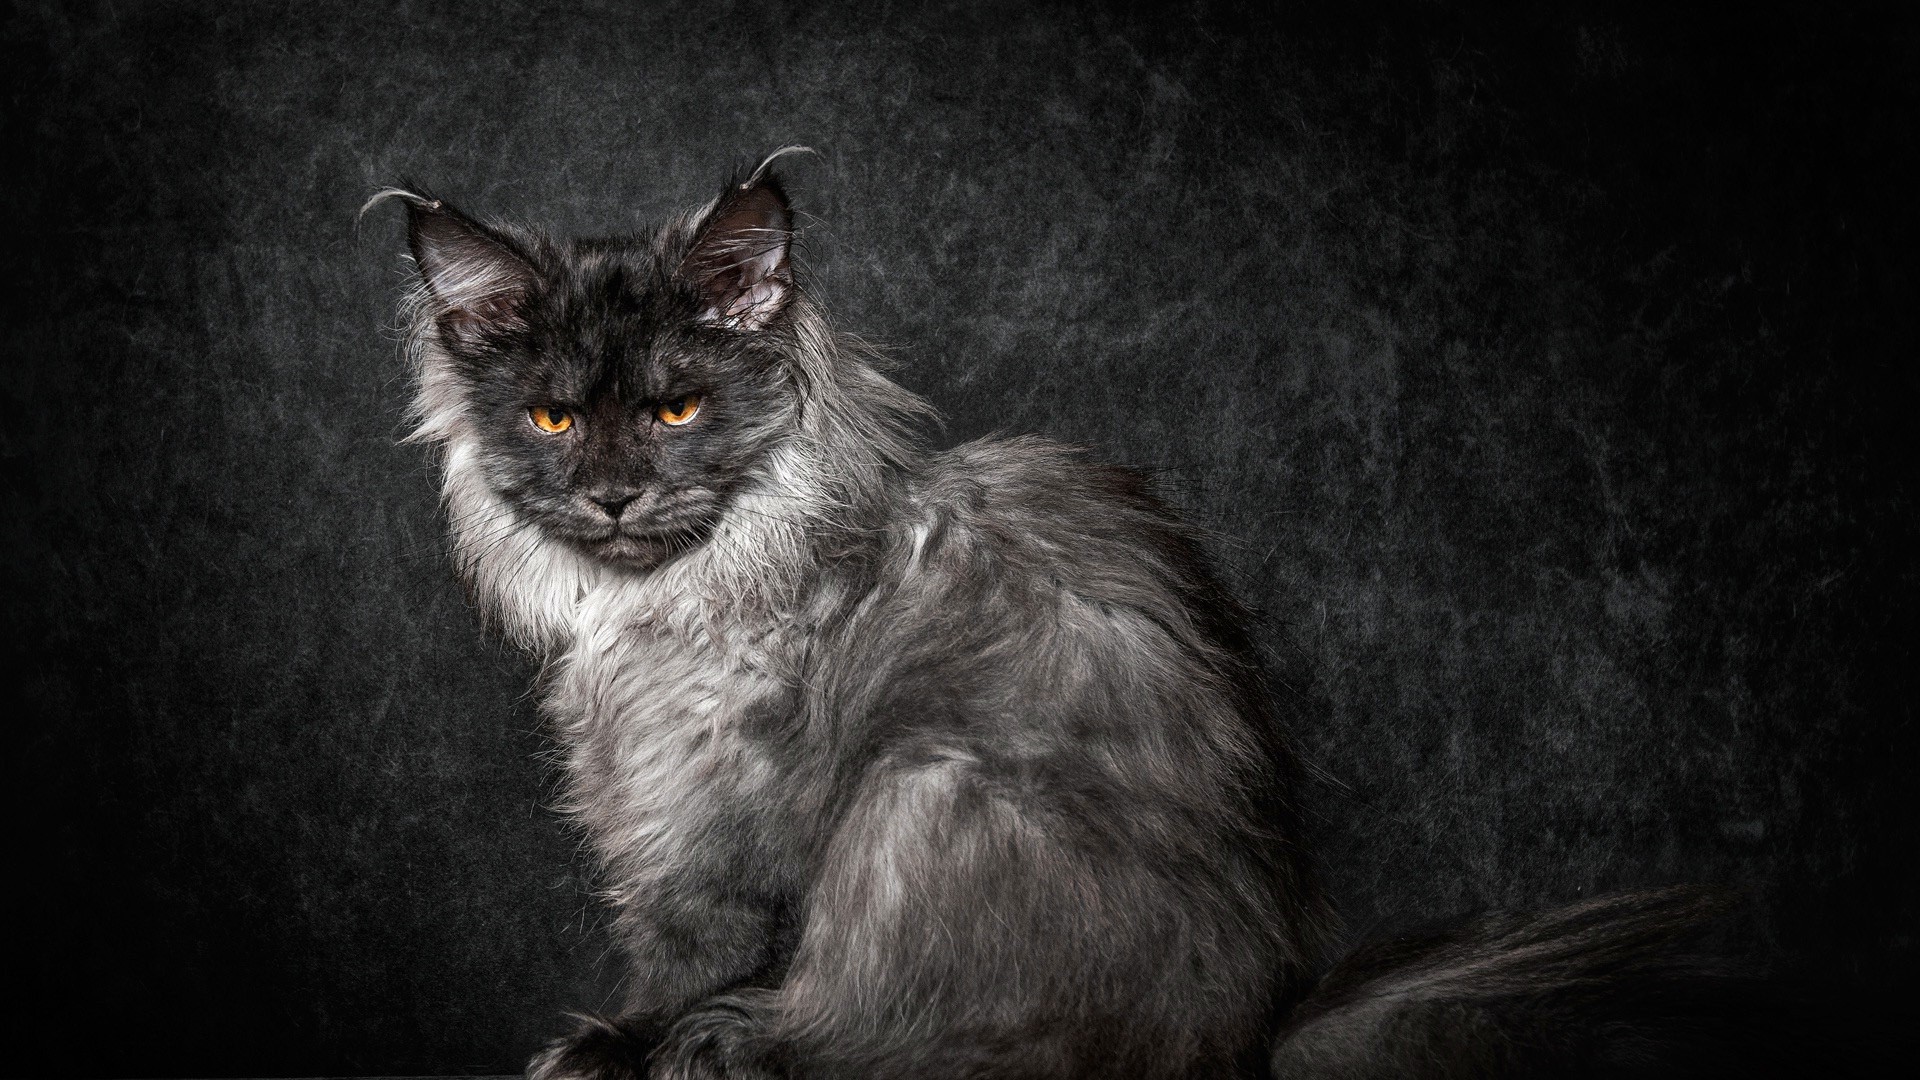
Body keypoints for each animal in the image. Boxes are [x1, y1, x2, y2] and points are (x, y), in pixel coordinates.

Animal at [374, 153, 1858, 1076]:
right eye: (553, 419)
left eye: (678, 407)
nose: (614, 494)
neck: (673, 599)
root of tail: (1252, 1029)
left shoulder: (714, 828)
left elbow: (688, 958)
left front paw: (625, 1041)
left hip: (925, 791)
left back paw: (739, 1043)